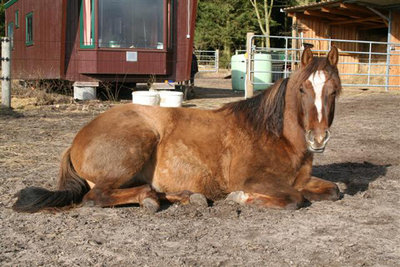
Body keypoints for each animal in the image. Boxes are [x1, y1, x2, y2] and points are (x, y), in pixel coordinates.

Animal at [14, 46, 342, 214]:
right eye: (302, 89)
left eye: (335, 90)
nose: (318, 139)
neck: (274, 137)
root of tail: (76, 141)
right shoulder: (255, 180)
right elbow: (295, 199)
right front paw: (241, 198)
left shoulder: (302, 179)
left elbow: (334, 190)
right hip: (136, 146)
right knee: (98, 197)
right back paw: (150, 199)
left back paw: (187, 197)